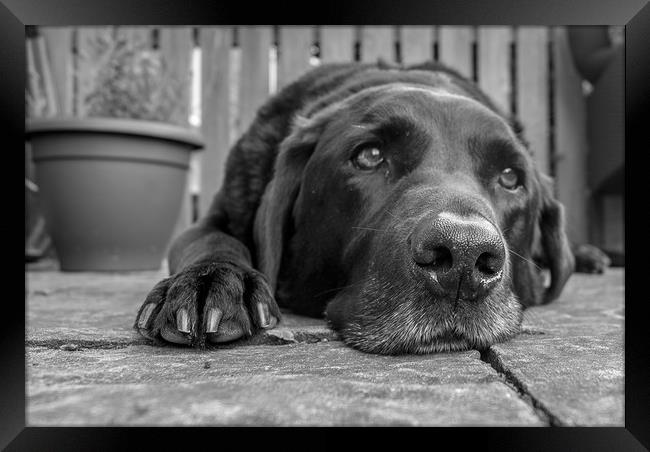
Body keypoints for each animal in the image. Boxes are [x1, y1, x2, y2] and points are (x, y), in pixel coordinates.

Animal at [134, 61, 604, 354]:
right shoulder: (216, 214)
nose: (464, 257)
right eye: (369, 156)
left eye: (510, 178)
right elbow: (209, 239)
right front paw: (212, 282)